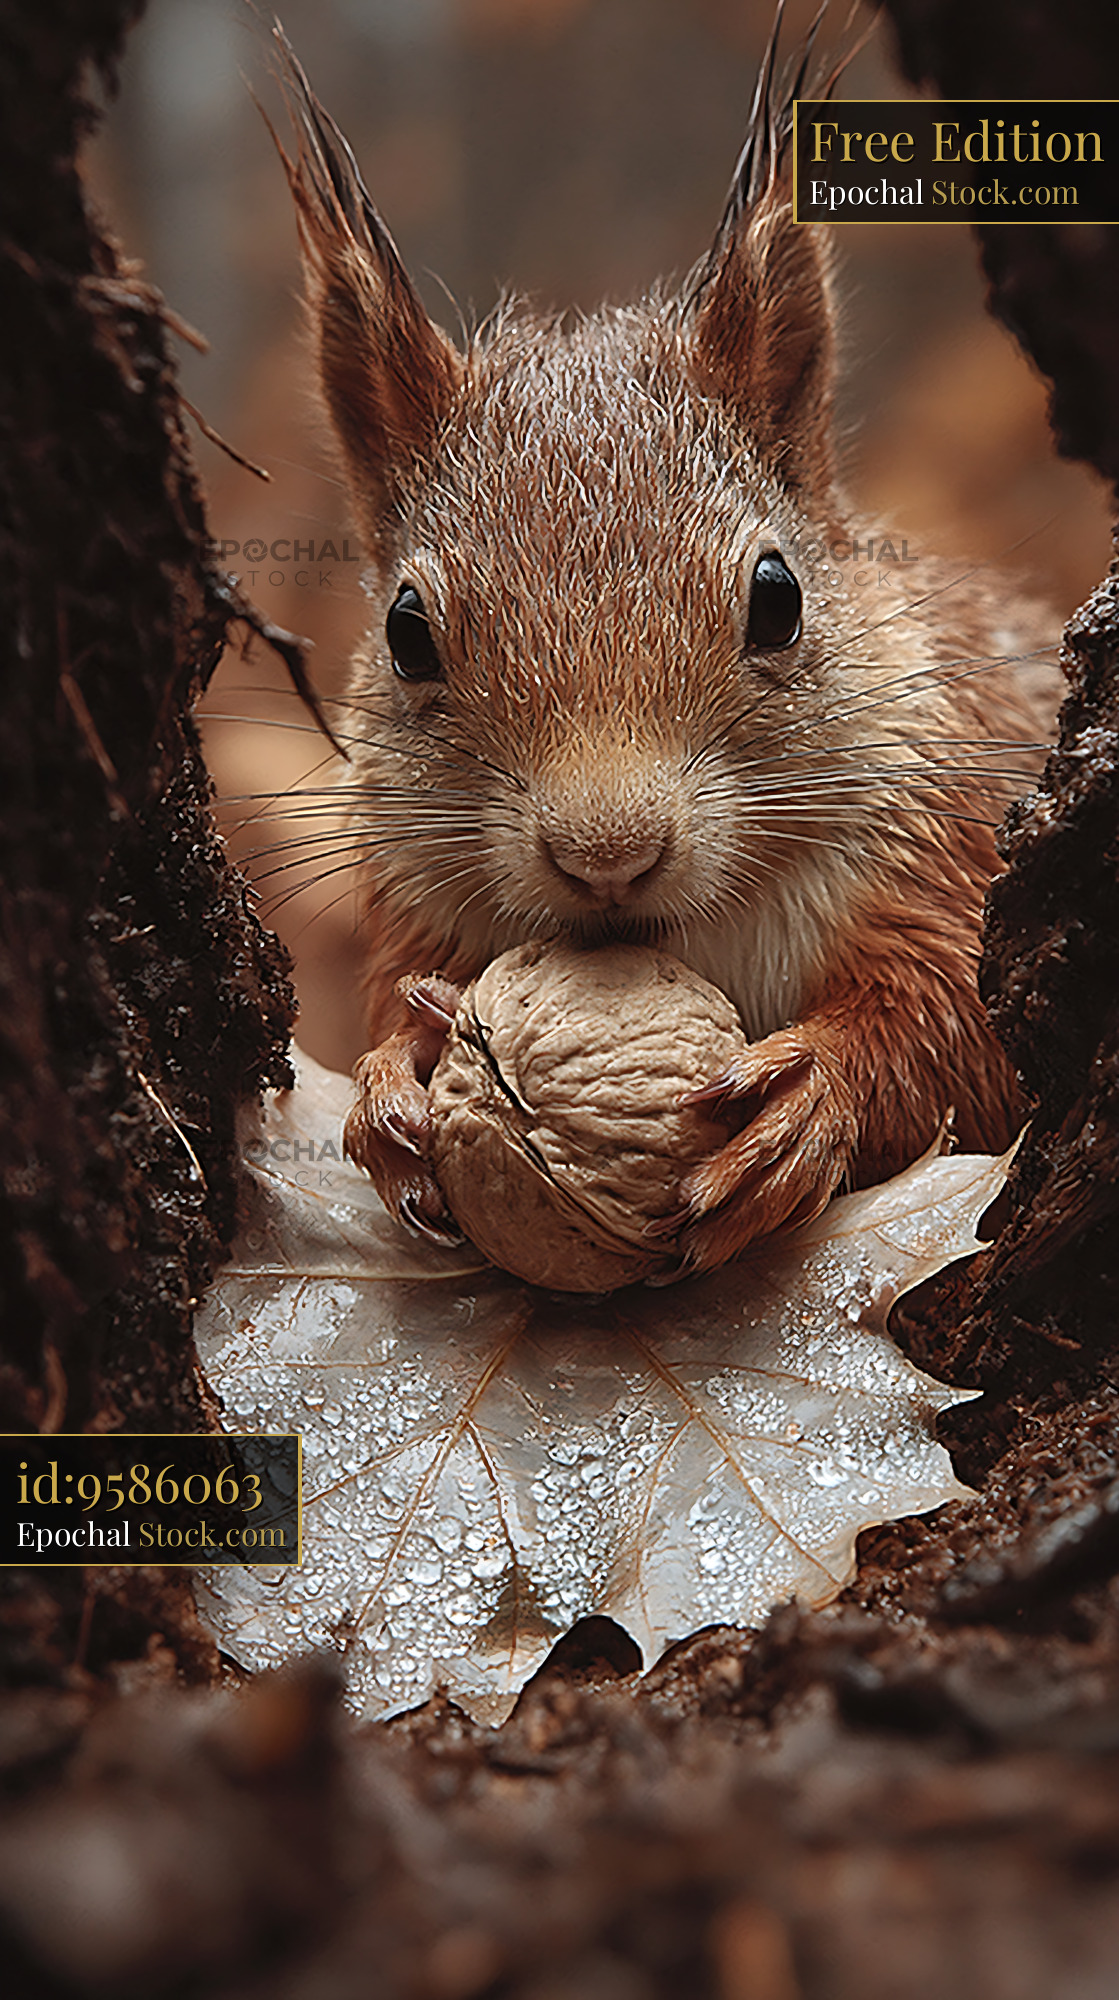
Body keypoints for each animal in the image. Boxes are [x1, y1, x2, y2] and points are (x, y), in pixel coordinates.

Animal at [268, 24, 1058, 1274]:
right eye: (405, 632)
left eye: (778, 599)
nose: (608, 856)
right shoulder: (412, 902)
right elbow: (391, 1003)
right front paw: (393, 1080)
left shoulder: (952, 847)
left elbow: (956, 1031)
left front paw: (810, 1096)